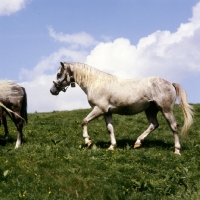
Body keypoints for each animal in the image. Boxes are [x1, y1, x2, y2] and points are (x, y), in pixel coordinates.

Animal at [50, 62, 194, 155]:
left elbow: (84, 121)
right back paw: (138, 142)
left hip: (166, 110)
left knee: (173, 126)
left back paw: (177, 150)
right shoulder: (107, 112)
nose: (52, 90)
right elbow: (110, 129)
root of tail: (170, 83)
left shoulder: (99, 109)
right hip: (150, 110)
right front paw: (112, 147)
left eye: (59, 74)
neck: (96, 83)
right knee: (154, 124)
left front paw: (87, 141)